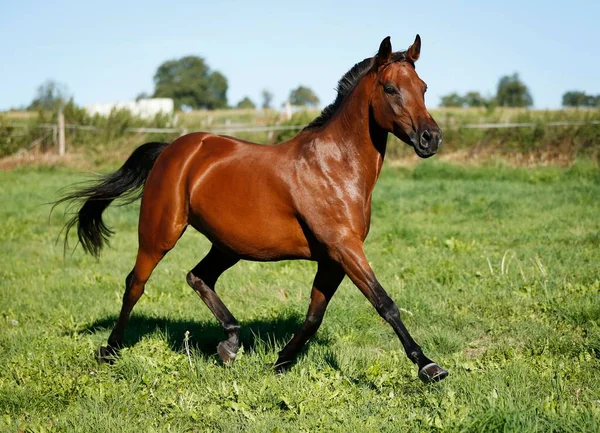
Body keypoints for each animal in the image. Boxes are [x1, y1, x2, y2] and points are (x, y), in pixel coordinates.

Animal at [59, 35, 446, 384]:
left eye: (423, 88)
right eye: (391, 89)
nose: (431, 138)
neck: (334, 167)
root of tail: (172, 149)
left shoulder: (332, 259)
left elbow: (314, 316)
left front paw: (279, 364)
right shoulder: (344, 248)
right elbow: (385, 303)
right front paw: (428, 366)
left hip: (228, 245)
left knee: (198, 277)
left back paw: (230, 343)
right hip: (159, 233)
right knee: (135, 284)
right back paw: (111, 349)